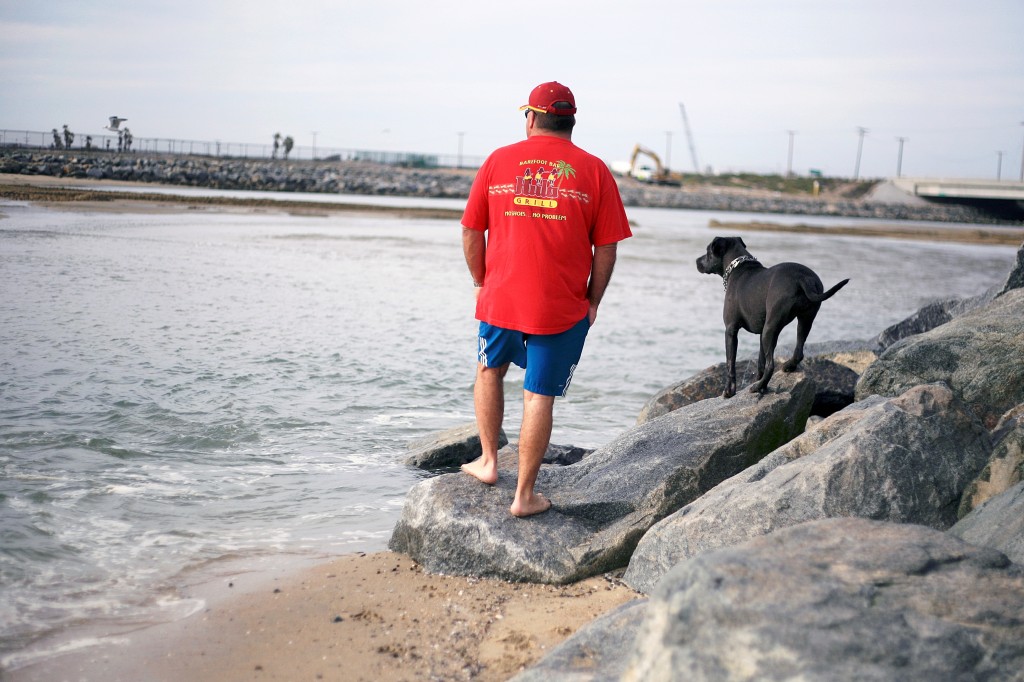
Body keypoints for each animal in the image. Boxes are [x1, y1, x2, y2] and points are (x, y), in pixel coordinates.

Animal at [696, 236, 847, 395]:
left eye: (708, 251)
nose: (696, 261)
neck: (738, 266)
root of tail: (802, 278)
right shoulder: (761, 332)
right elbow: (760, 361)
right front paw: (758, 380)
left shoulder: (731, 330)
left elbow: (731, 363)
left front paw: (729, 391)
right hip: (803, 321)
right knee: (798, 351)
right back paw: (785, 368)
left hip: (771, 328)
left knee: (771, 365)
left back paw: (758, 387)